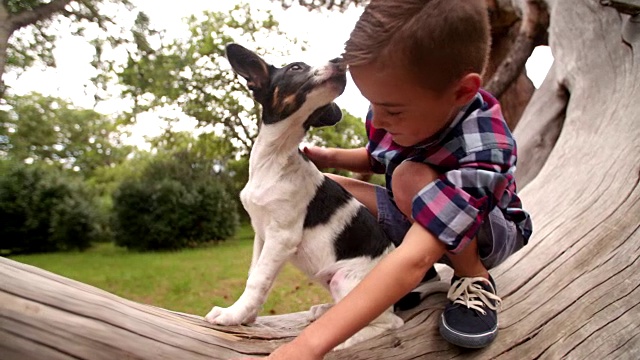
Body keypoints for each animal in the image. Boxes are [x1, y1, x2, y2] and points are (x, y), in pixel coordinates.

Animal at [205, 44, 402, 348]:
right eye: (295, 68)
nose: (341, 61)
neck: (275, 158)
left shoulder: (282, 236)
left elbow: (257, 280)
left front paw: (232, 315)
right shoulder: (261, 235)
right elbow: (255, 273)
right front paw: (246, 314)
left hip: (345, 279)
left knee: (388, 322)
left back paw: (344, 339)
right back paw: (326, 311)